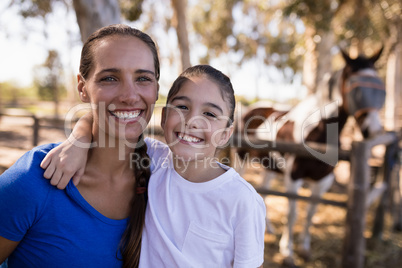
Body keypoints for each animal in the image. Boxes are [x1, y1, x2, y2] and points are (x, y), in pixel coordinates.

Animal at [236, 48, 386, 266]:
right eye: (354, 87)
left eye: (379, 85)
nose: (373, 130)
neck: (317, 133)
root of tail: (250, 110)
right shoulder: (294, 177)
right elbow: (293, 214)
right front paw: (287, 252)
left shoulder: (322, 181)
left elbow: (310, 214)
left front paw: (304, 249)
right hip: (242, 161)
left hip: (270, 168)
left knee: (263, 193)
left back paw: (268, 229)